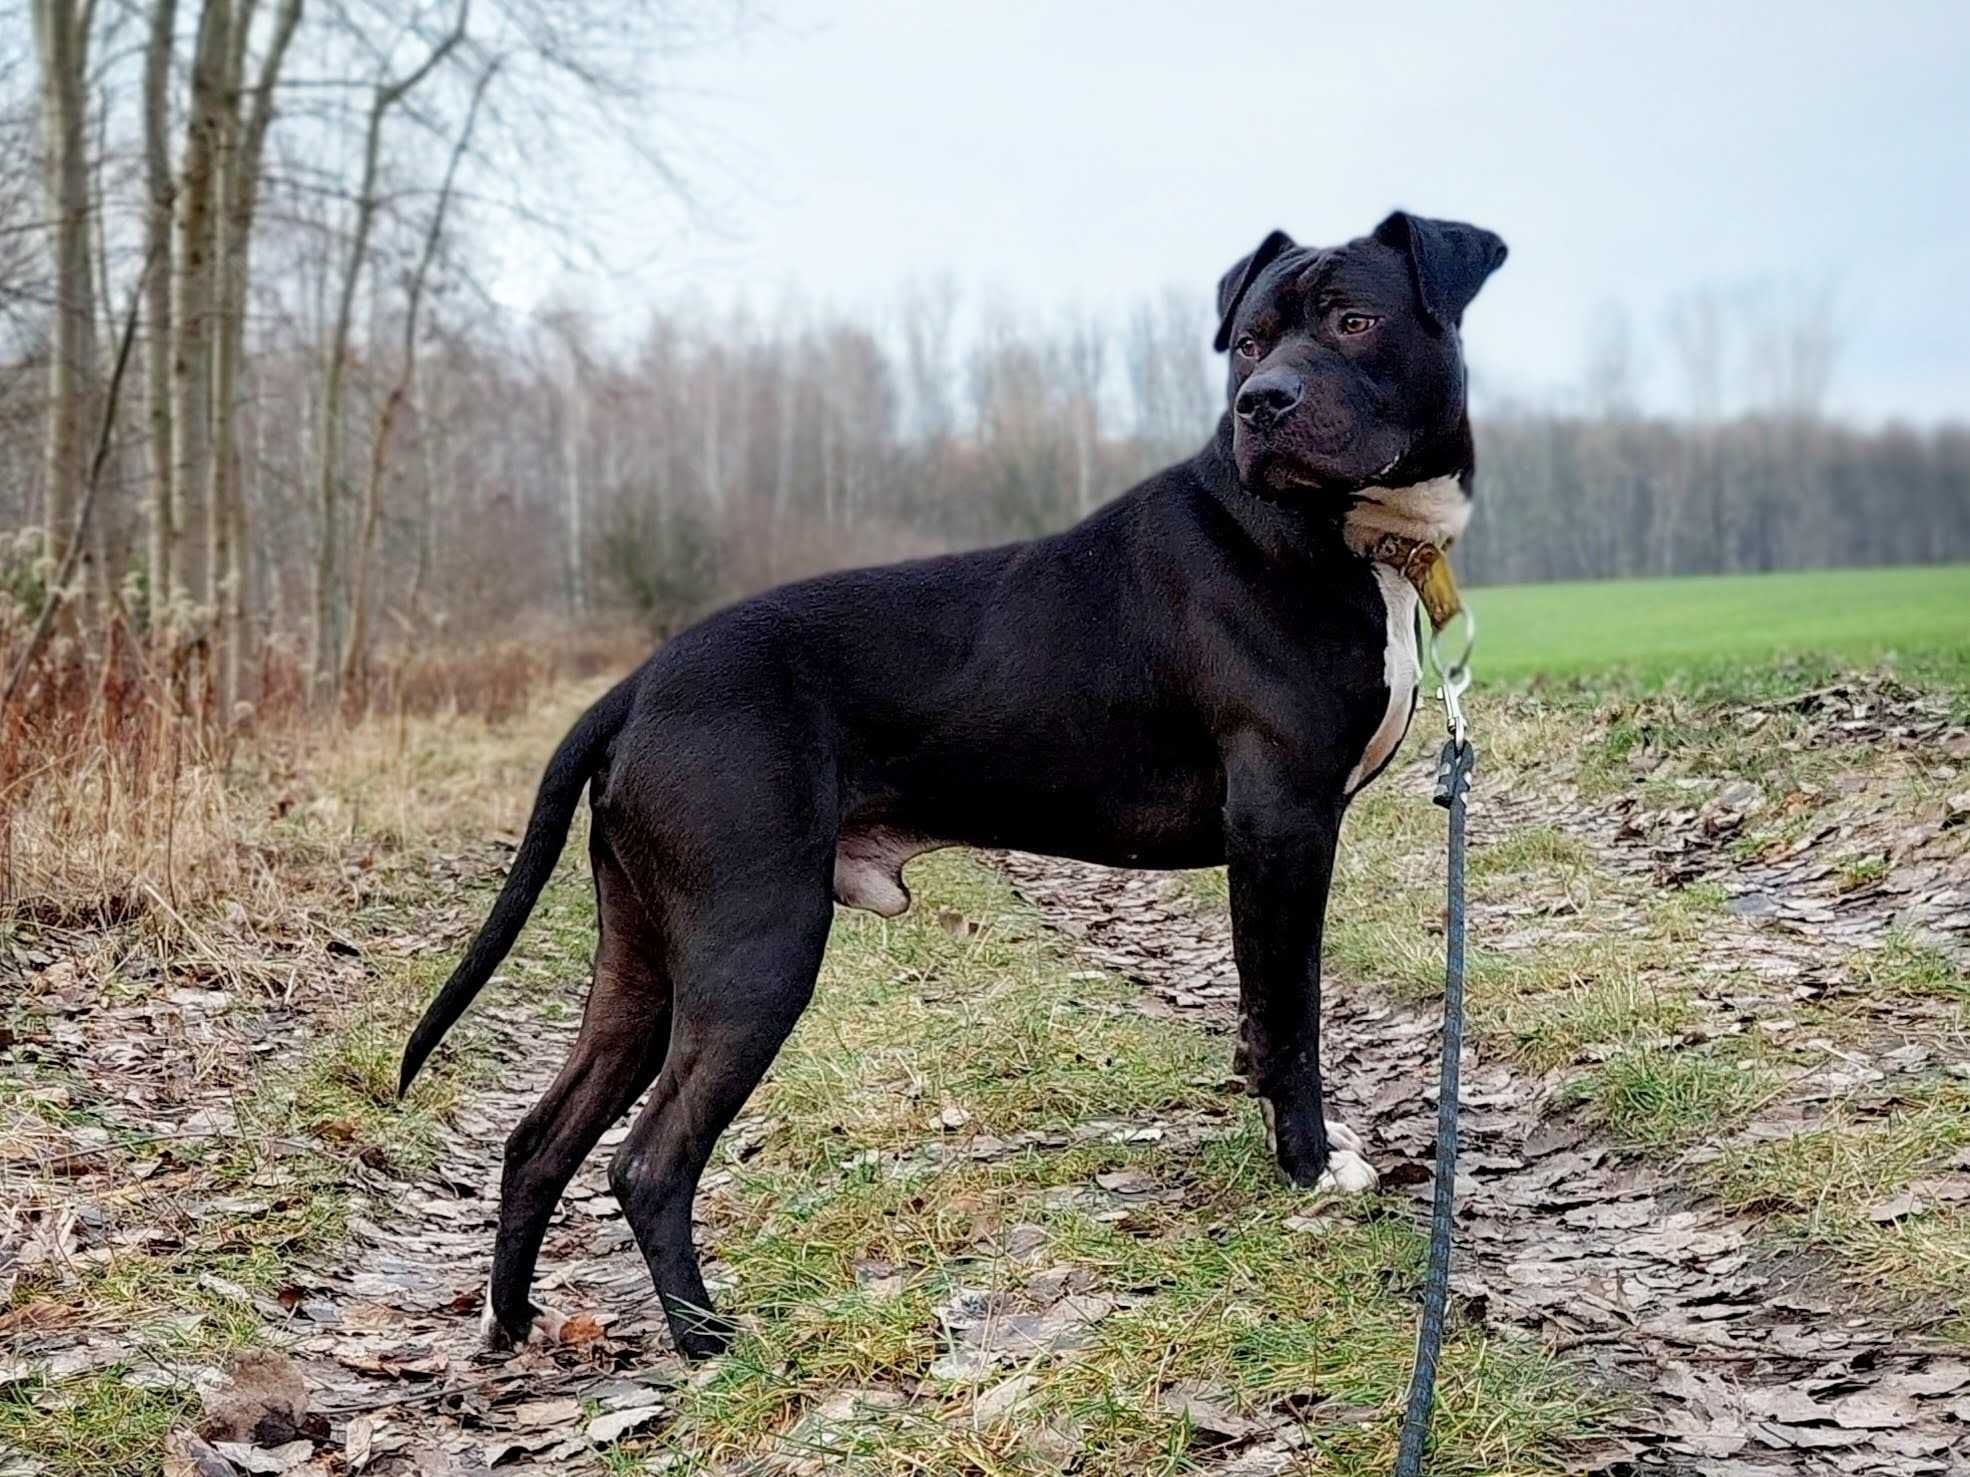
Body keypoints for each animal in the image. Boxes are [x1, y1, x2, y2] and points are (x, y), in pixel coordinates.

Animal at [399, 210, 1505, 1362]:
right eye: (1247, 343)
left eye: (1352, 320)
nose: (1264, 403)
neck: (1340, 537)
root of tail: (637, 685)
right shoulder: (1285, 823)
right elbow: (1292, 1009)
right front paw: (1308, 1165)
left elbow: (1259, 1005)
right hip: (755, 946)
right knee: (648, 1158)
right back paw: (709, 1343)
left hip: (643, 961)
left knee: (540, 1139)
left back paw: (512, 1322)